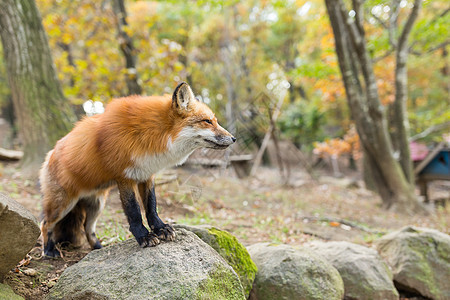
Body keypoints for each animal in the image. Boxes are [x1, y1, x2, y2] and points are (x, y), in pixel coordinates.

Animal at [39, 82, 236, 255]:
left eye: (215, 121)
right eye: (207, 121)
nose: (233, 138)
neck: (148, 135)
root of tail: (50, 153)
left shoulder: (146, 174)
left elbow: (151, 206)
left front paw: (161, 228)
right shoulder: (125, 177)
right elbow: (134, 211)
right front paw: (143, 236)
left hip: (97, 205)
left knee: (88, 228)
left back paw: (97, 248)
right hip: (62, 204)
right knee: (46, 224)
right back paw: (49, 250)